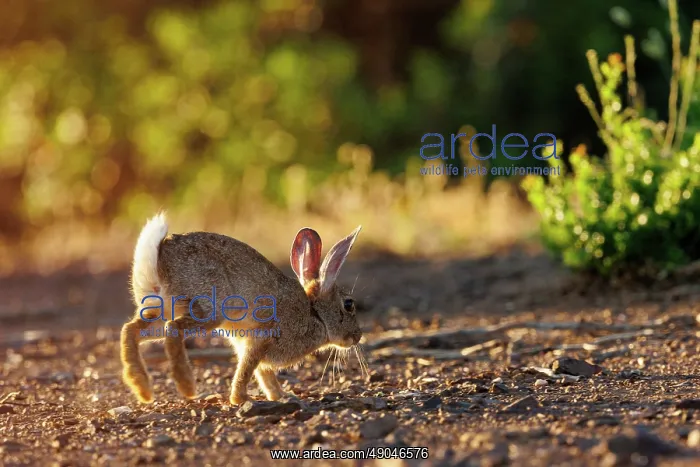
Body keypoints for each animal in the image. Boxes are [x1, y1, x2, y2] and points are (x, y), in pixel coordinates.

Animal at [120, 212, 363, 405]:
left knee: (131, 330)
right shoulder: (262, 337)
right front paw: (241, 399)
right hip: (211, 310)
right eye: (349, 304)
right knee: (172, 328)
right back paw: (186, 386)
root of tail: (160, 257)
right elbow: (246, 369)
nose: (358, 337)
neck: (315, 314)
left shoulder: (252, 346)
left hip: (163, 309)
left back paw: (142, 388)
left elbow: (264, 375)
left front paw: (281, 397)